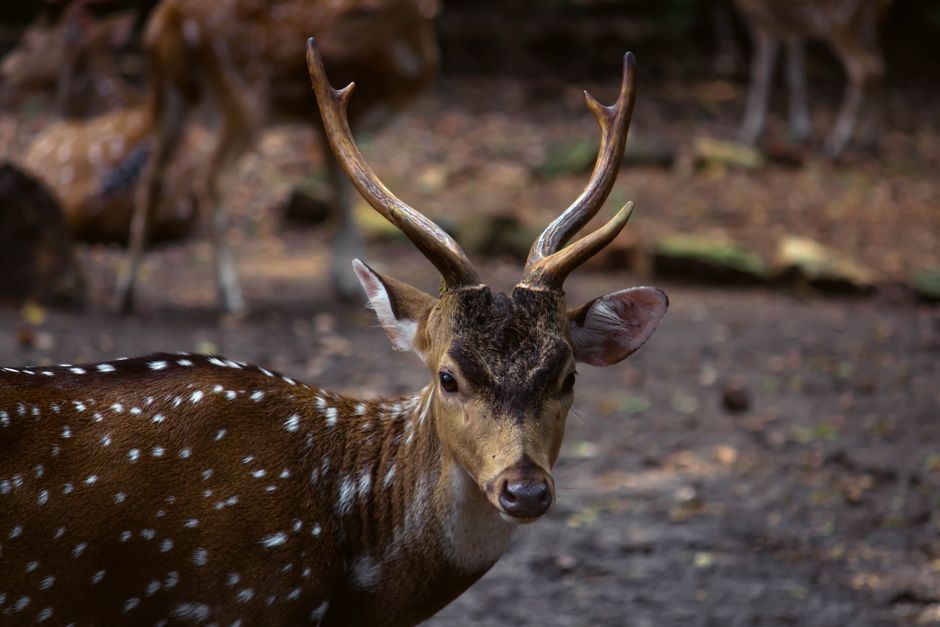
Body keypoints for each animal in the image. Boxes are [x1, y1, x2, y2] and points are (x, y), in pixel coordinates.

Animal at [114, 0, 441, 314]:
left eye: (370, 10)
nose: (327, 49)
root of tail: (171, 18)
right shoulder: (343, 118)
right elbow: (345, 194)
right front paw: (349, 284)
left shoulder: (319, 124)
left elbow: (341, 189)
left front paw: (343, 279)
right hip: (246, 100)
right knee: (212, 176)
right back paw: (230, 295)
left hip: (171, 96)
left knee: (152, 176)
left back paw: (127, 293)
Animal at [732, 0, 894, 157]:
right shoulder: (789, 29)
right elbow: (794, 74)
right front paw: (801, 129)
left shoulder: (762, 21)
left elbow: (760, 75)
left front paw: (748, 133)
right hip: (865, 21)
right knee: (879, 65)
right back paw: (870, 139)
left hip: (838, 20)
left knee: (864, 68)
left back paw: (836, 143)